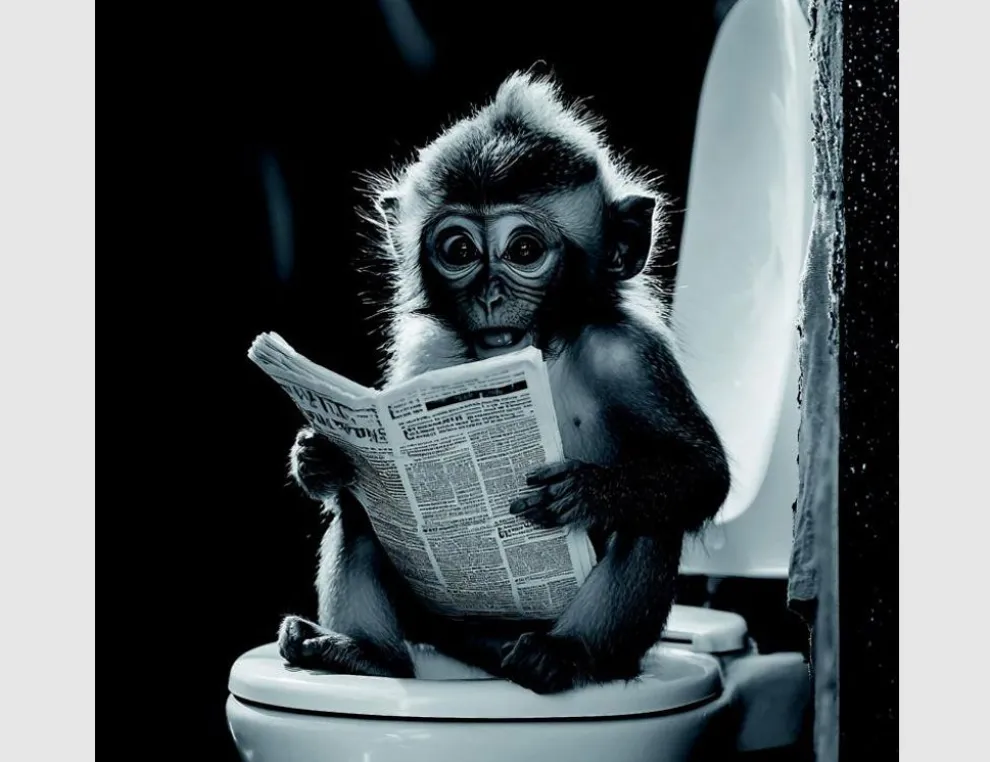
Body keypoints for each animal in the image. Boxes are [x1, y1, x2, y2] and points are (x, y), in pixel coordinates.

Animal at [276, 70, 731, 695]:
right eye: (459, 250)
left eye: (523, 250)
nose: (489, 294)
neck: (547, 349)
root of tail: (491, 645)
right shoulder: (427, 354)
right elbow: (357, 479)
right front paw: (316, 457)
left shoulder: (631, 355)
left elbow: (702, 473)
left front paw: (585, 492)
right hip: (442, 619)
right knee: (362, 511)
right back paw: (365, 654)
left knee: (650, 522)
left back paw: (563, 656)